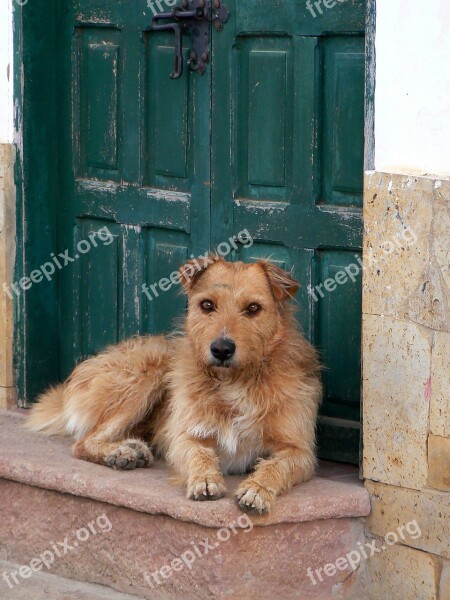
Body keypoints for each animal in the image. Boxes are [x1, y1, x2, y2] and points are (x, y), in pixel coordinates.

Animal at [26, 255, 322, 512]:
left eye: (253, 308)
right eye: (207, 305)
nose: (221, 349)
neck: (235, 382)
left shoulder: (299, 451)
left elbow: (276, 466)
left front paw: (257, 488)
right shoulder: (184, 436)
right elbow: (198, 454)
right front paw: (205, 479)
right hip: (150, 370)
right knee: (83, 442)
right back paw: (120, 452)